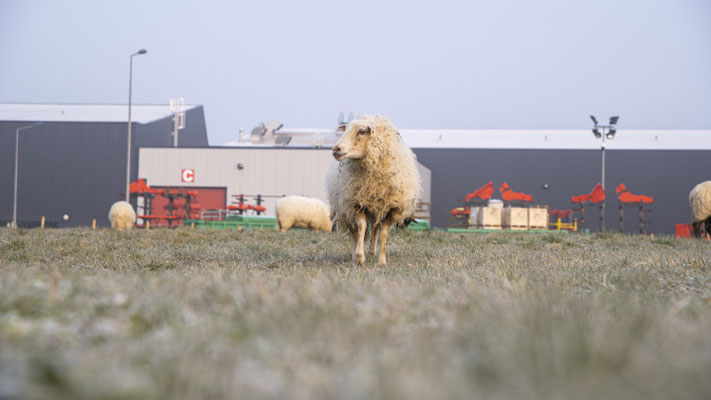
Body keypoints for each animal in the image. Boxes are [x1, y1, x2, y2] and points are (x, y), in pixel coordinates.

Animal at [326, 115, 421, 266]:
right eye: (345, 130)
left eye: (361, 131)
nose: (336, 149)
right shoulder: (357, 204)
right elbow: (361, 228)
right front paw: (360, 257)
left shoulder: (391, 209)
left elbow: (383, 234)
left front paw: (381, 261)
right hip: (346, 210)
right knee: (354, 233)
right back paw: (355, 255)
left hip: (377, 208)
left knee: (375, 229)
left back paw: (372, 251)